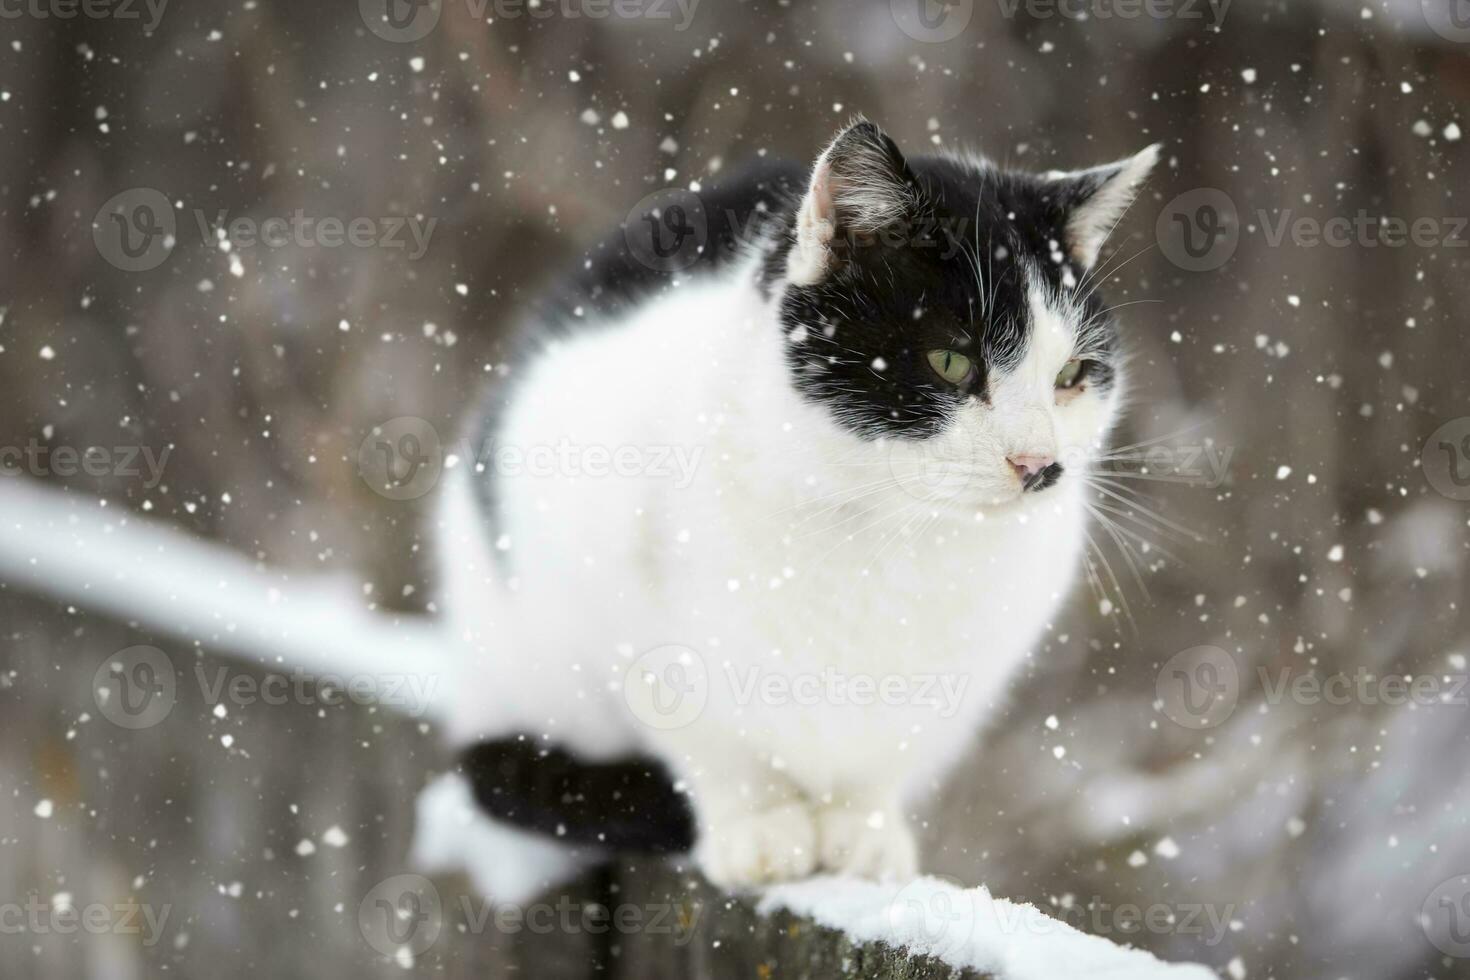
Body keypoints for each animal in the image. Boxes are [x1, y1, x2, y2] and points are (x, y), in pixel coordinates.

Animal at [432, 120, 1158, 887]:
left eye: (1072, 375)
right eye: (951, 362)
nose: (1040, 465)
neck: (888, 536)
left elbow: (882, 762)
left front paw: (861, 835)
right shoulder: (623, 614)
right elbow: (713, 745)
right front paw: (759, 830)